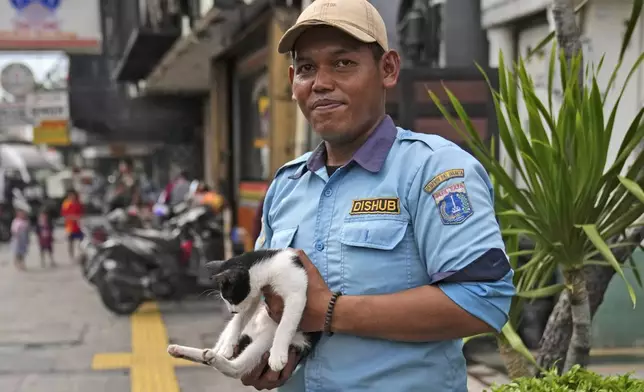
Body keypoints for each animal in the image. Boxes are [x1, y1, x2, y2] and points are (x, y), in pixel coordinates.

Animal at [166, 250, 316, 378]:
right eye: (226, 299)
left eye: (230, 298)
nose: (231, 311)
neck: (270, 268)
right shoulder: (253, 298)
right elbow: (238, 320)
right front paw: (228, 345)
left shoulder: (296, 294)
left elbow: (285, 325)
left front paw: (277, 355)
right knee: (221, 351)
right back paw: (189, 351)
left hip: (268, 340)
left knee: (237, 369)